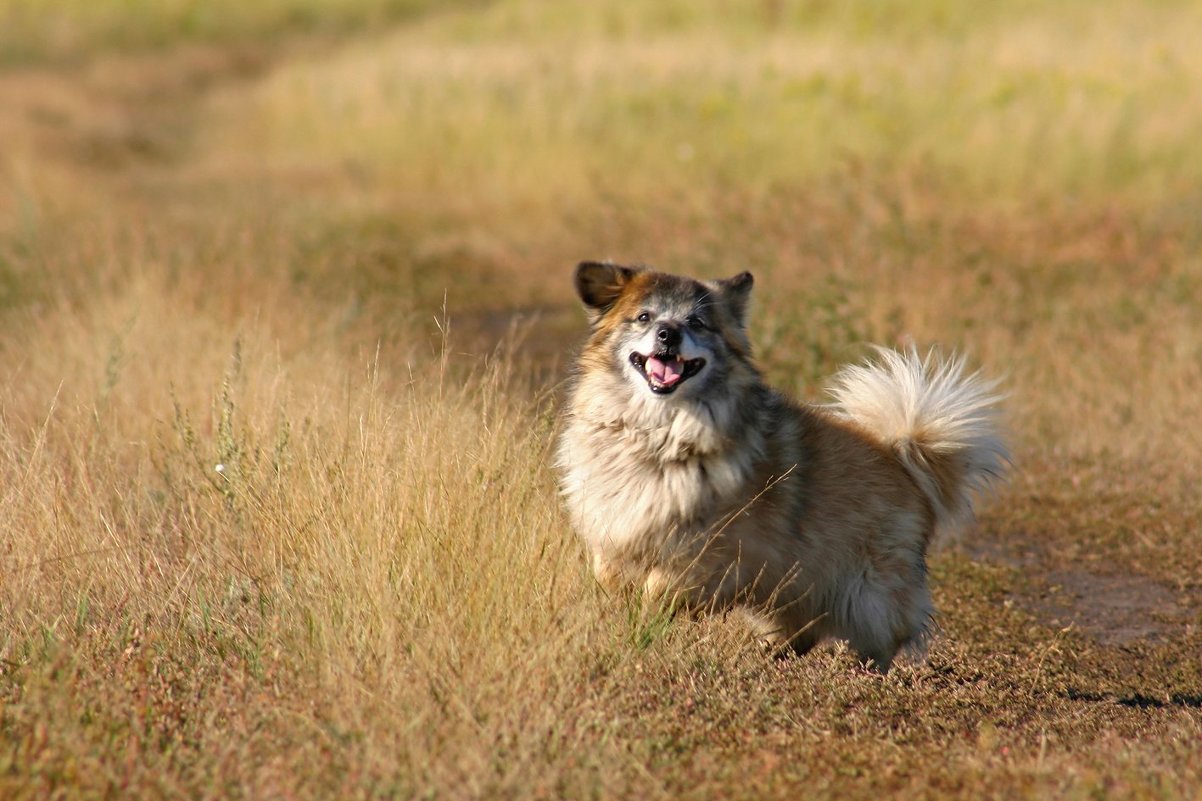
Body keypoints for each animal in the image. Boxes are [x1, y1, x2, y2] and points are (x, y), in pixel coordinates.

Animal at [557, 260, 1009, 668]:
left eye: (698, 323)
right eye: (644, 317)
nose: (669, 333)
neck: (658, 434)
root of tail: (901, 455)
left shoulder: (710, 554)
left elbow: (661, 587)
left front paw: (648, 620)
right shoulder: (616, 531)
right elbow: (611, 577)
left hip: (867, 592)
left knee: (881, 639)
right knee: (801, 630)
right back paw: (772, 654)